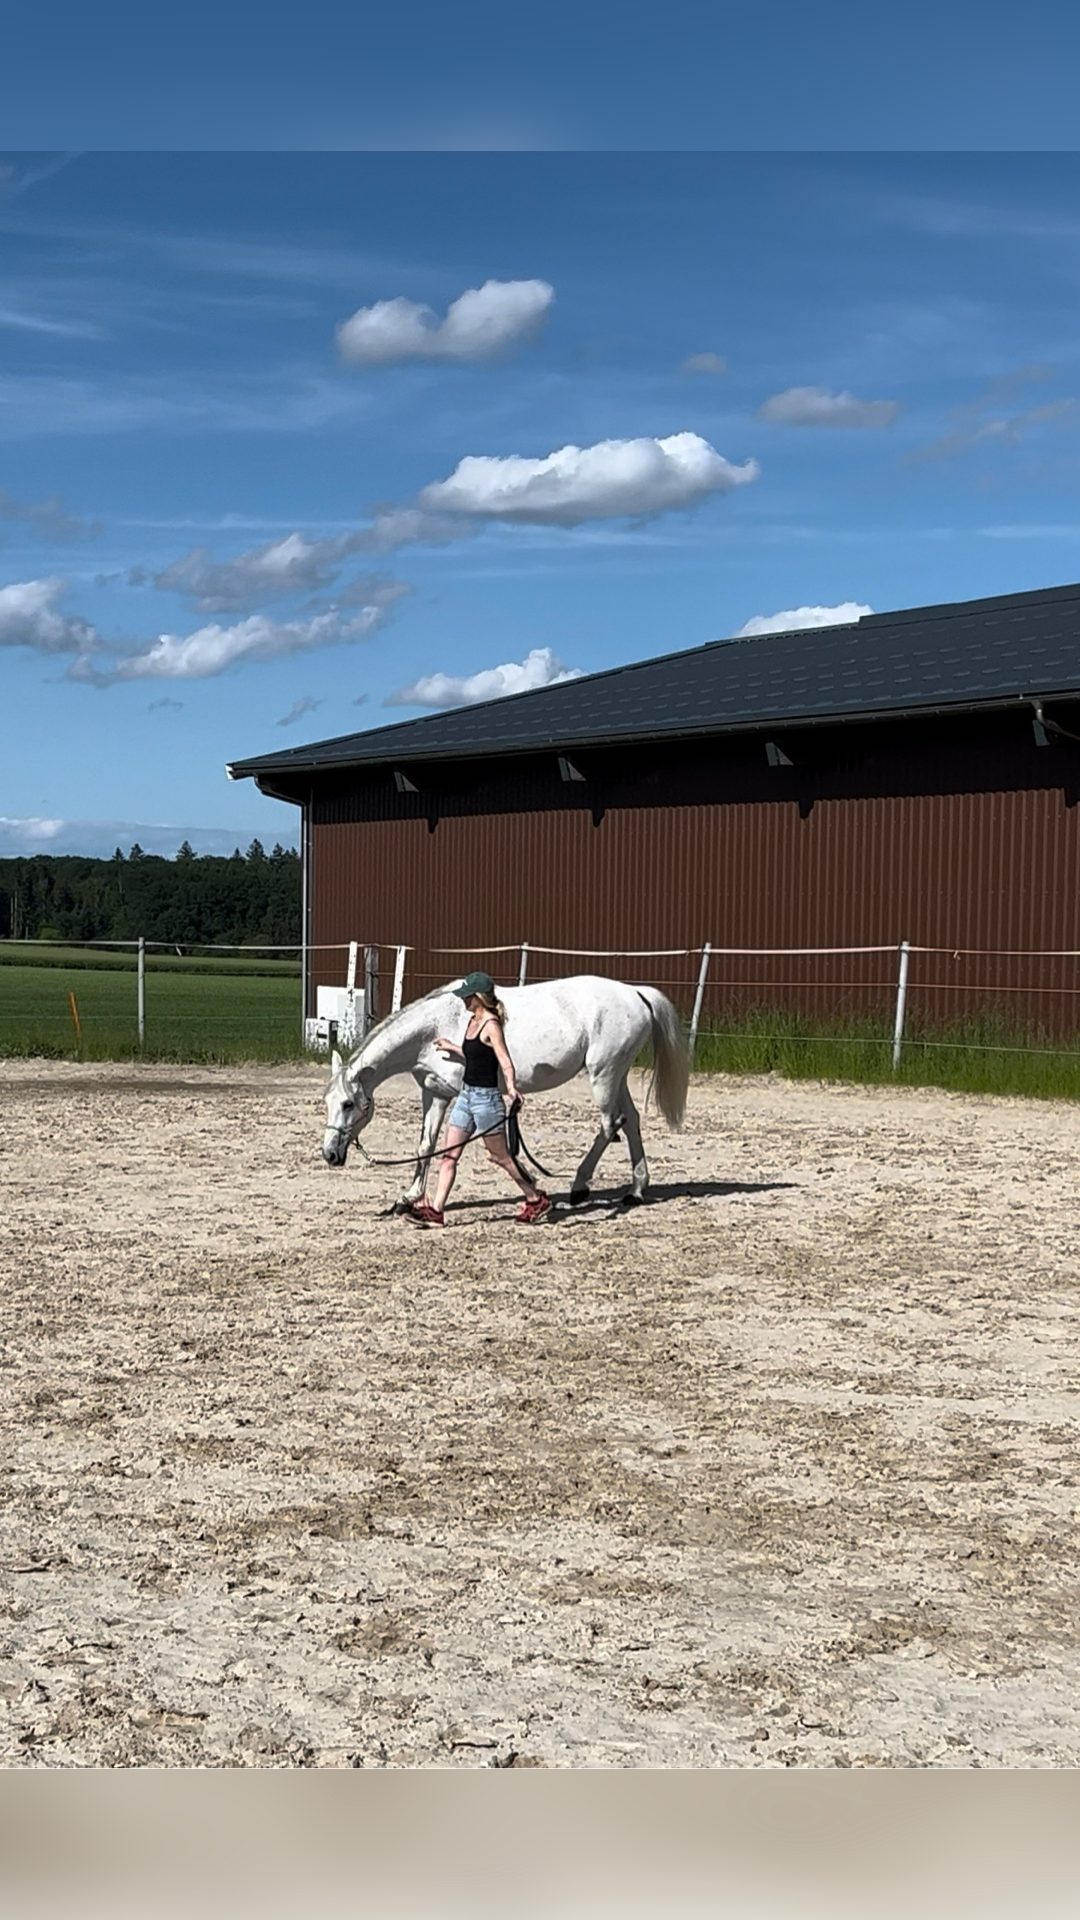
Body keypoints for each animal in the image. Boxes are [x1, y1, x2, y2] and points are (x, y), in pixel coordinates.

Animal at [321, 974, 689, 1210]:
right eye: (326, 1102)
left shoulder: (466, 1094)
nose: (329, 1155)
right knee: (631, 1121)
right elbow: (426, 1144)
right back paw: (636, 1190)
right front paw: (409, 1197)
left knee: (610, 1125)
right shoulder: (435, 1093)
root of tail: (635, 993)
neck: (435, 1028)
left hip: (604, 1075)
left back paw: (579, 1187)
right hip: (617, 1075)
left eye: (349, 1103)